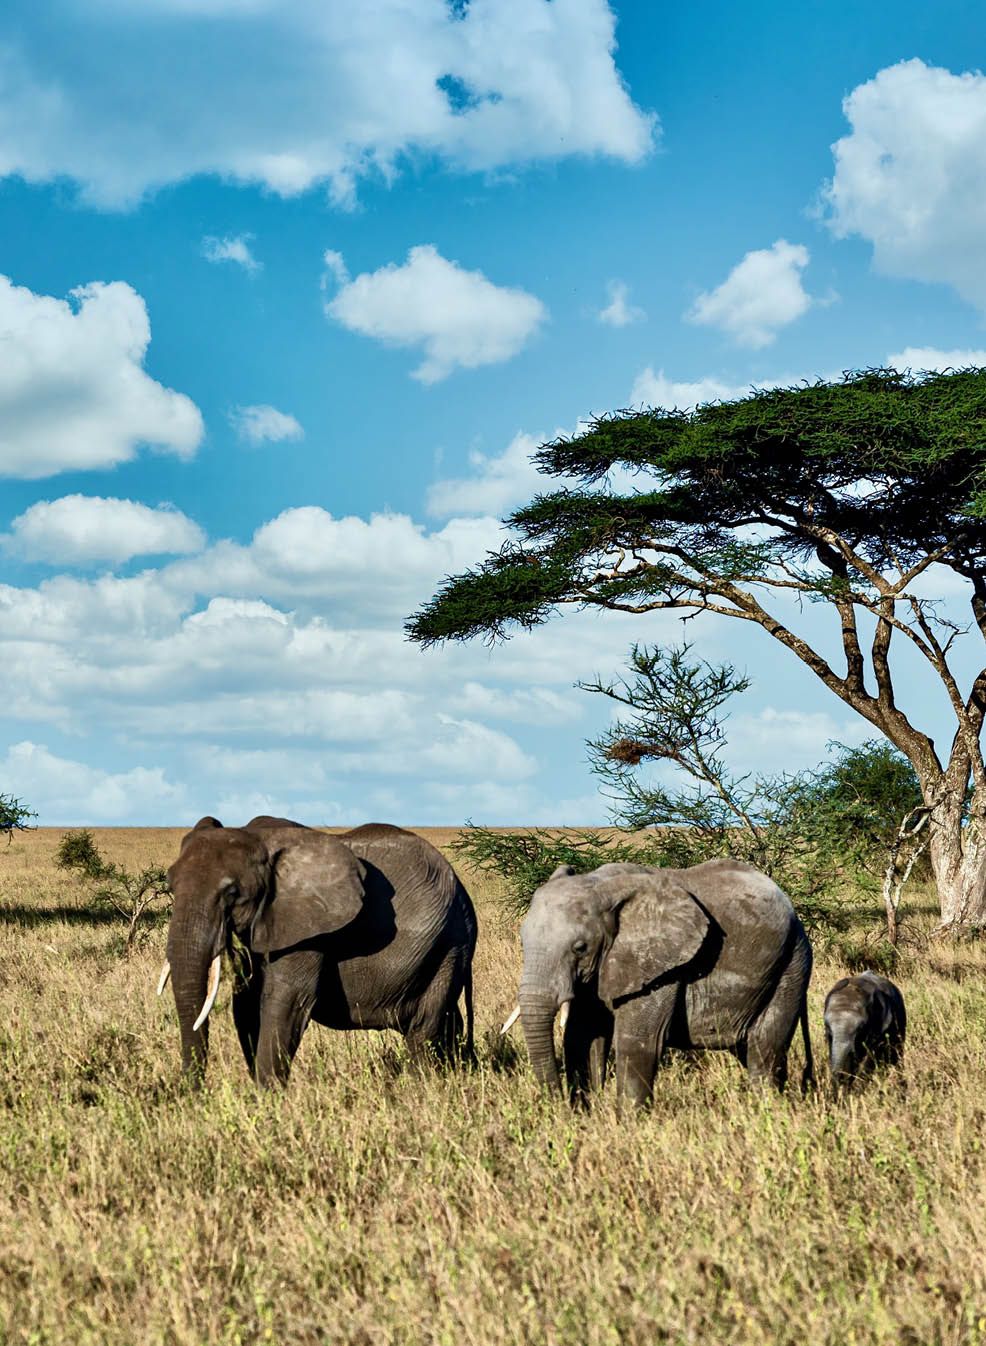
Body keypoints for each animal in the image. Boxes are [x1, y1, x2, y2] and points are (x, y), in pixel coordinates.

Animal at [159, 817, 477, 1086]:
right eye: (171, 887)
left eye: (232, 894)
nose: (193, 1093)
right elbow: (246, 1002)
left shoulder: (308, 930)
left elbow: (285, 1000)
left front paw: (266, 1099)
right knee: (448, 1023)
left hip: (448, 945)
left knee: (423, 1030)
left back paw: (421, 1088)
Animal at [514, 858, 813, 1107]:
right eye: (523, 942)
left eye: (580, 948)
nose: (557, 1105)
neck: (601, 885)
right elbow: (581, 1036)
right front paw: (586, 1117)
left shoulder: (661, 967)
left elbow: (638, 1043)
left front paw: (628, 1124)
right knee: (749, 1050)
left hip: (791, 964)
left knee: (764, 1050)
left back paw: (768, 1111)